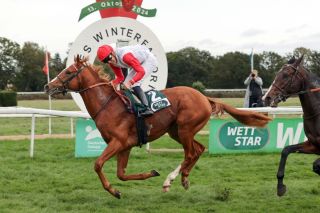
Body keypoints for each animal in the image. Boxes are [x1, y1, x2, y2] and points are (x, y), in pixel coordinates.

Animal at [44, 55, 270, 199]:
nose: (48, 86)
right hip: (176, 131)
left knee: (190, 153)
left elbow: (98, 164)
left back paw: (170, 181)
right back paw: (183, 179)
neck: (108, 105)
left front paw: (113, 190)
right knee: (198, 150)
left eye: (69, 71)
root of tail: (203, 97)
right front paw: (147, 175)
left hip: (185, 129)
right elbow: (122, 174)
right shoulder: (125, 145)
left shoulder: (118, 142)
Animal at [264, 55, 320, 197]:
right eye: (277, 74)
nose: (267, 97)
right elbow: (286, 150)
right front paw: (280, 187)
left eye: (286, 75)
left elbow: (316, 164)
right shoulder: (314, 145)